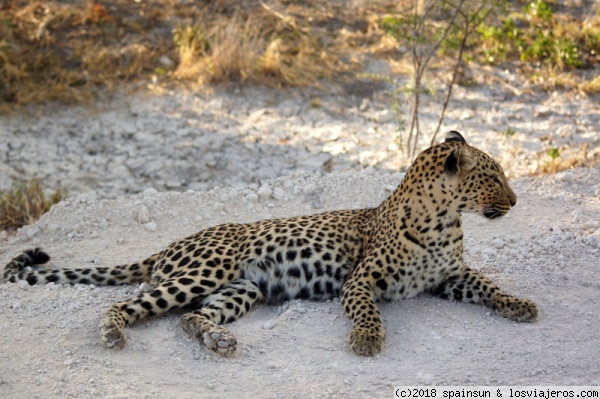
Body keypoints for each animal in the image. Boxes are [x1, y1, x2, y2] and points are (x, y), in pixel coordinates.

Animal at [2, 133, 540, 358]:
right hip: (205, 271)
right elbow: (369, 312)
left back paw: (217, 340)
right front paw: (367, 340)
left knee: (188, 318)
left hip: (245, 289)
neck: (444, 220)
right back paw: (114, 334)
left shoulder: (450, 276)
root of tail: (168, 246)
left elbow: (489, 286)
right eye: (494, 176)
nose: (515, 200)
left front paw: (520, 304)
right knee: (126, 304)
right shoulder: (361, 281)